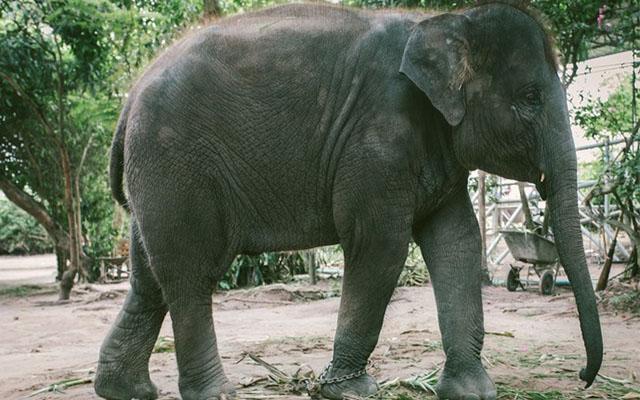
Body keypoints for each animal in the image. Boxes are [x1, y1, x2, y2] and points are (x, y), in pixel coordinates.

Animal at [95, 1, 600, 398]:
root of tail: (128, 101)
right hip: (176, 167)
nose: (582, 375)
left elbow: (457, 241)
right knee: (191, 274)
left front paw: (472, 392)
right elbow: (381, 246)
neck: (448, 20)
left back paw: (125, 390)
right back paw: (216, 394)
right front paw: (349, 390)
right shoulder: (379, 135)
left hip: (156, 179)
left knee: (149, 280)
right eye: (530, 98)